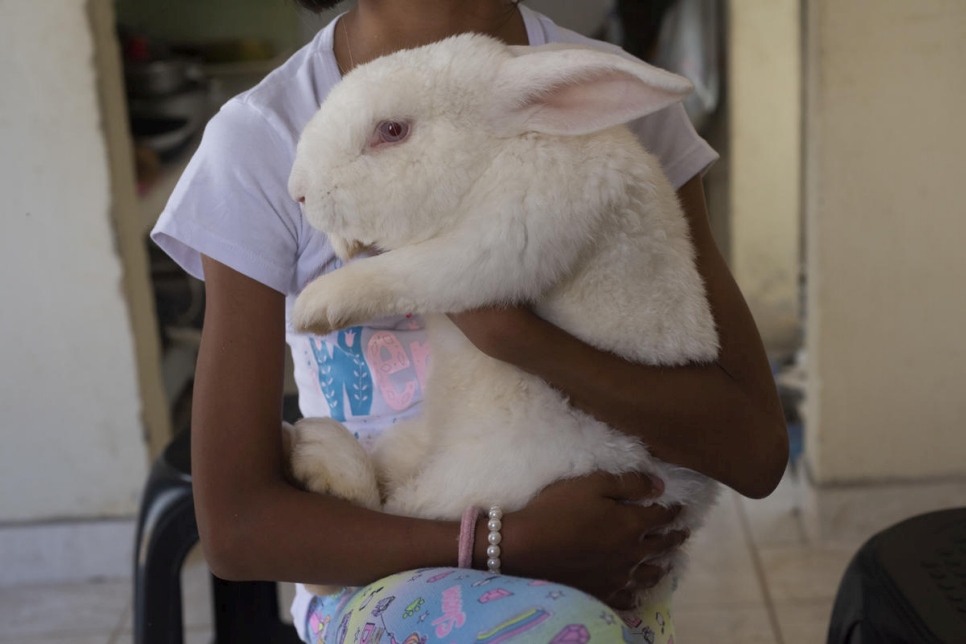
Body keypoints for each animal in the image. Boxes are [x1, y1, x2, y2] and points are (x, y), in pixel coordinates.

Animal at [286, 30, 720, 604]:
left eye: (392, 131)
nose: (297, 191)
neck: (500, 152)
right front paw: (343, 245)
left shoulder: (503, 237)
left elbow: (409, 270)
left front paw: (316, 304)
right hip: (411, 444)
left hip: (485, 481)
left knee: (375, 526)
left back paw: (317, 454)